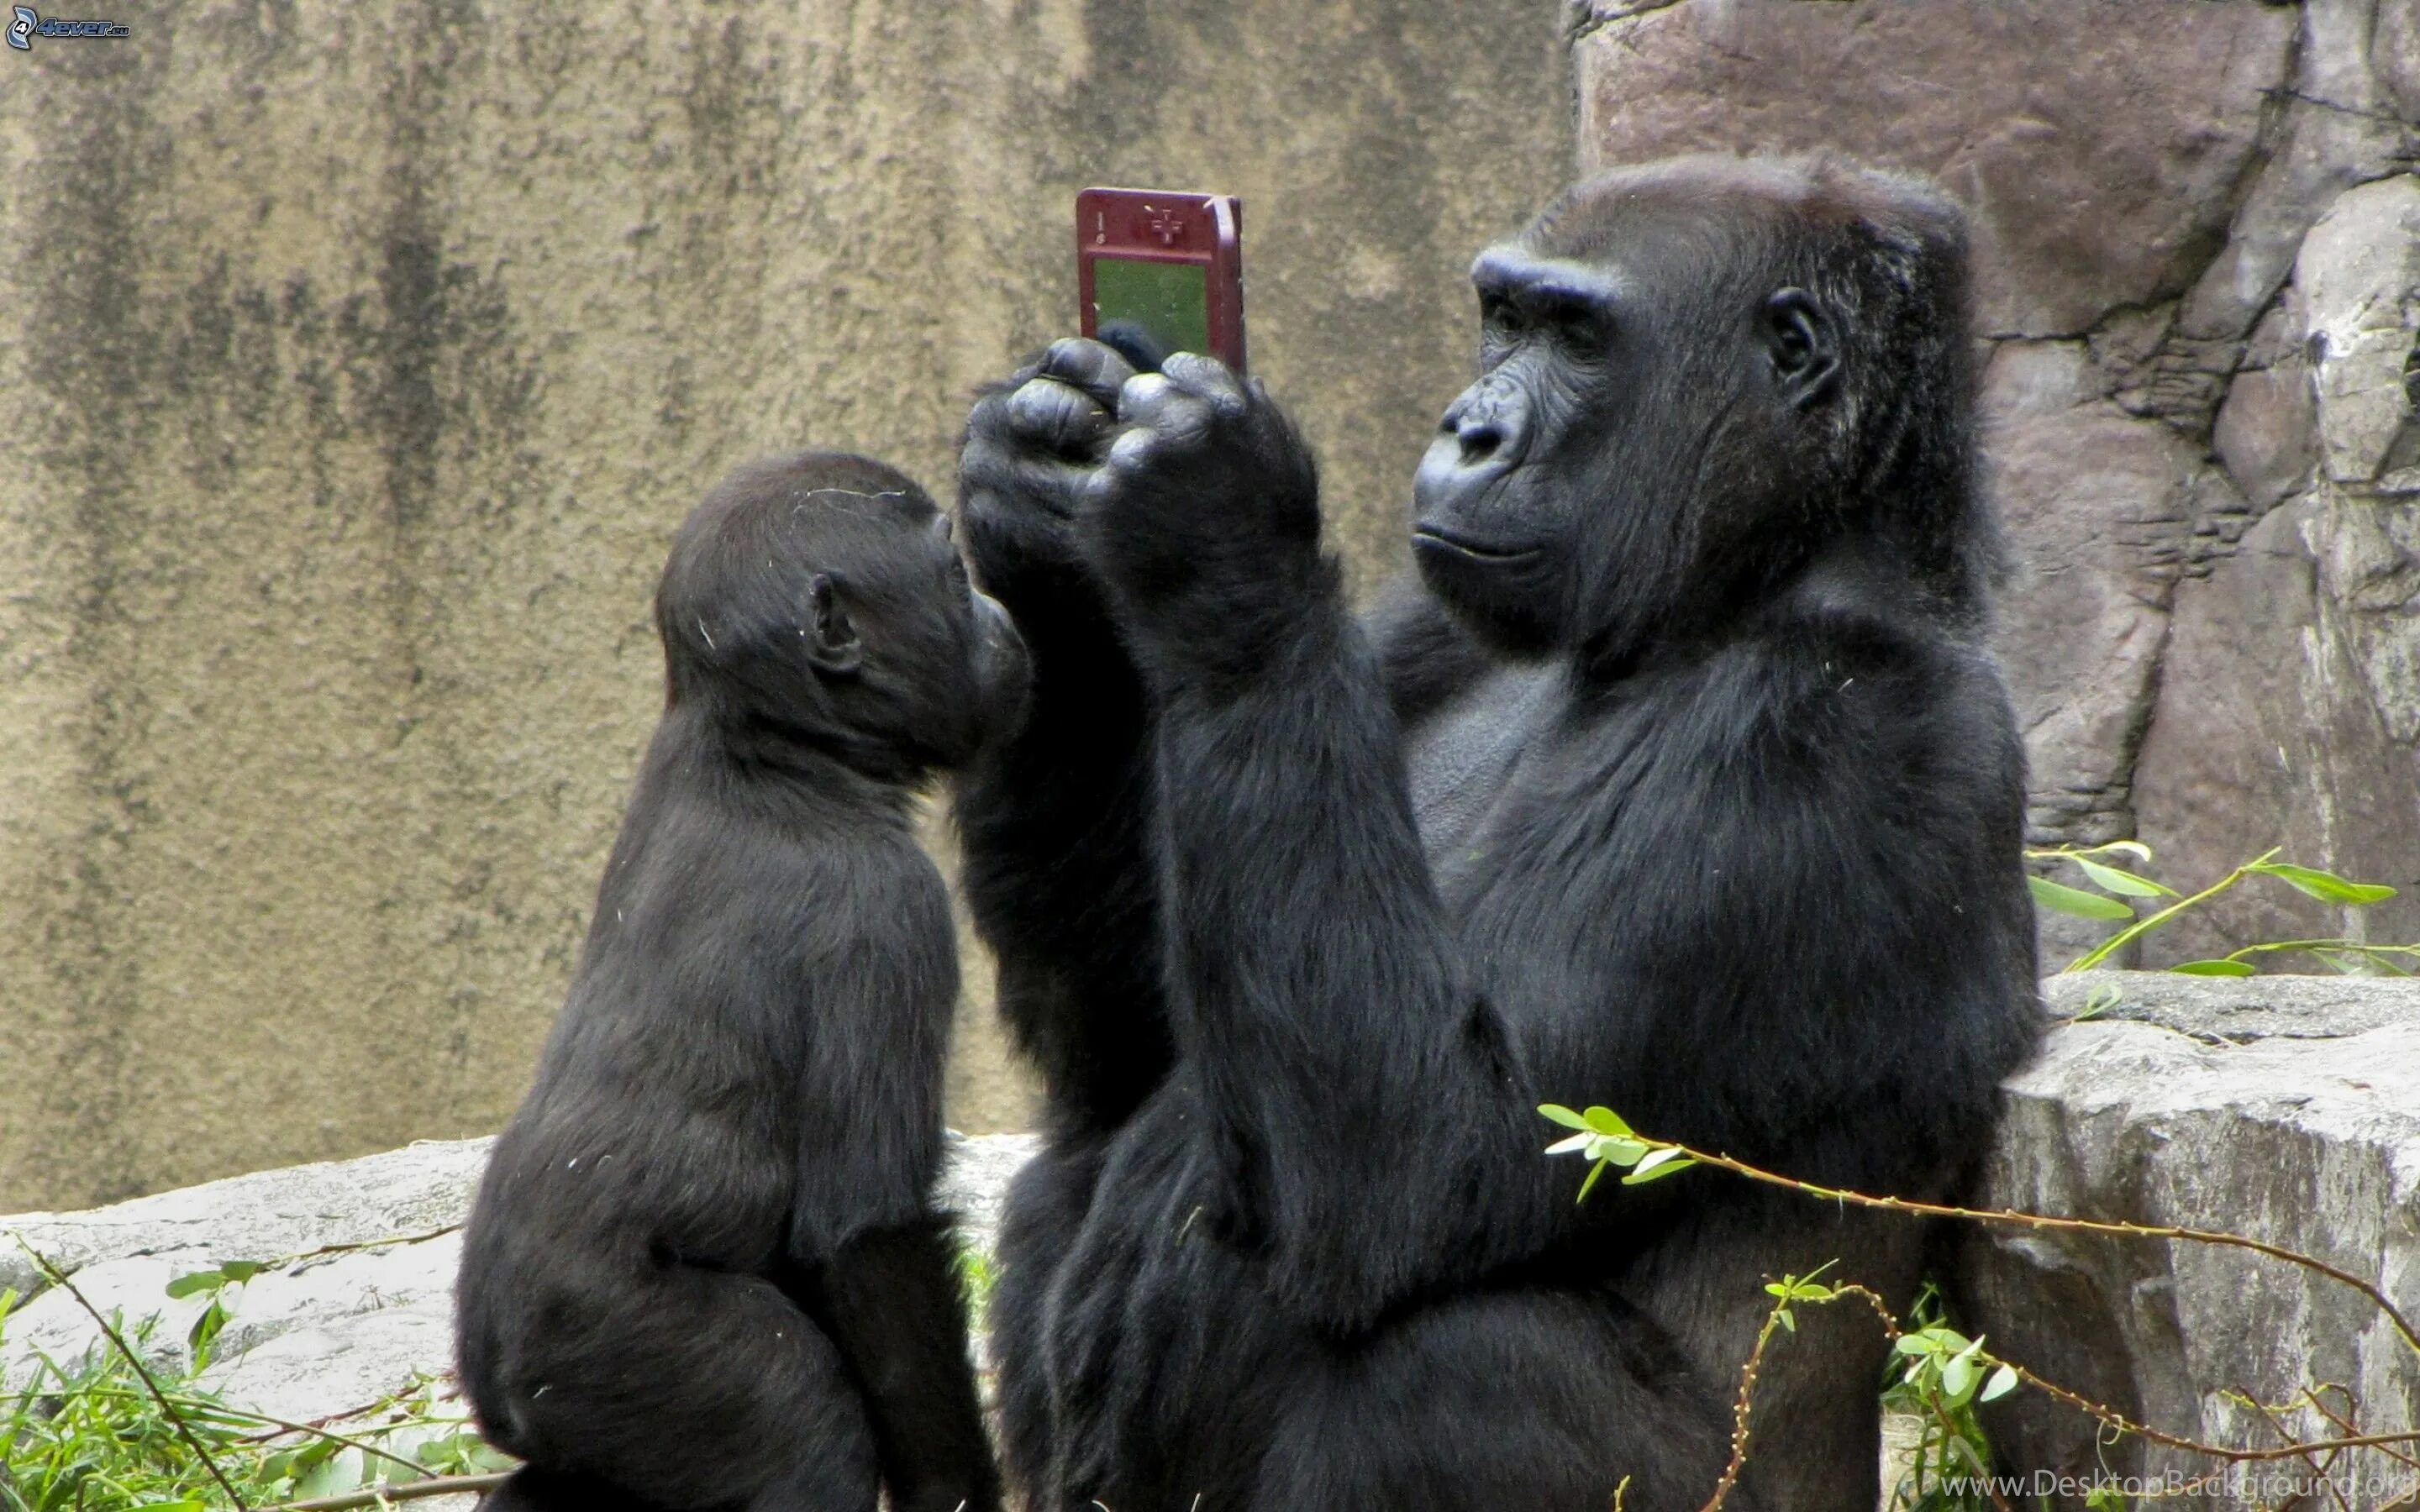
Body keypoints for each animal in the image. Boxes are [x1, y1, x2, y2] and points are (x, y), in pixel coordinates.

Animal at [455, 449, 1021, 1509]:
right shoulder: (888, 914)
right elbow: (869, 1238)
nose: (1001, 615)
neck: (774, 746)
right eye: (953, 574)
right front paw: (956, 1489)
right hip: (622, 1339)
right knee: (803, 1433)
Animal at [953, 155, 2033, 1509]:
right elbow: (1129, 1042)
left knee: (1447, 1359)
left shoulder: (1833, 737)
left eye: (1578, 336)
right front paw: (1037, 498)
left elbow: (1426, 1165)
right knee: (1080, 1152)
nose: (1469, 429)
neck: (1741, 582)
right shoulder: (1430, 622)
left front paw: (1213, 524)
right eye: (1504, 319)